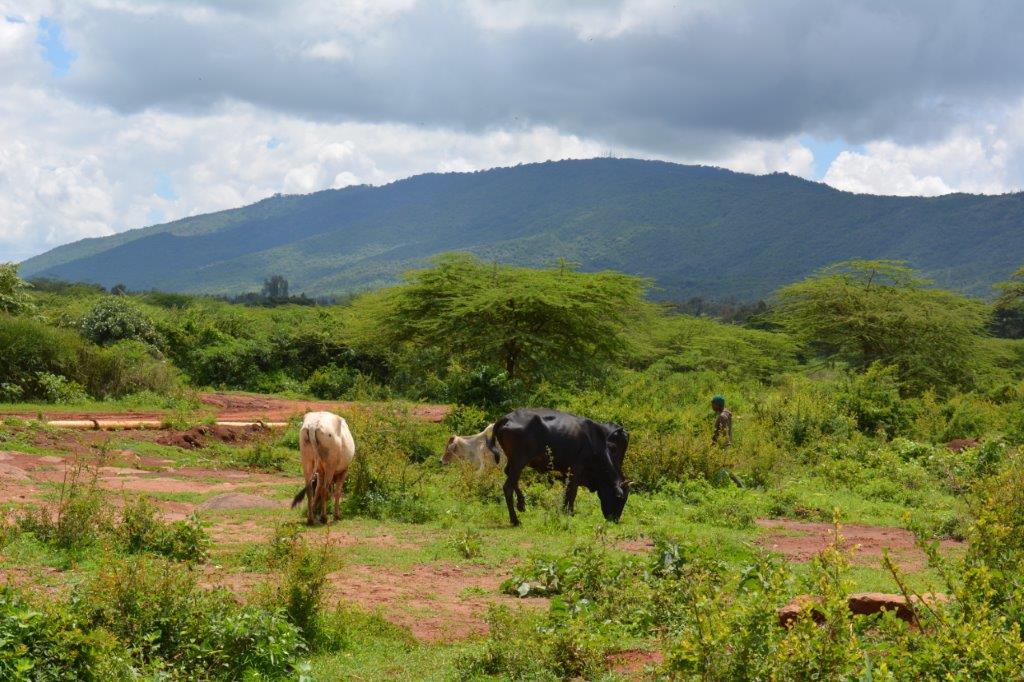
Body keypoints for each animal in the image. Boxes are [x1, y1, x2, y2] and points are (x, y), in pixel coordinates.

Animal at [485, 405, 626, 522]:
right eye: (620, 499)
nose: (615, 520)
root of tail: (506, 418)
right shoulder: (576, 469)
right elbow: (572, 492)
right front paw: (569, 512)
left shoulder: (566, 472)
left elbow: (567, 491)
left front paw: (564, 511)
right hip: (519, 461)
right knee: (508, 486)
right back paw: (515, 520)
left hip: (514, 461)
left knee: (509, 475)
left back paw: (521, 504)